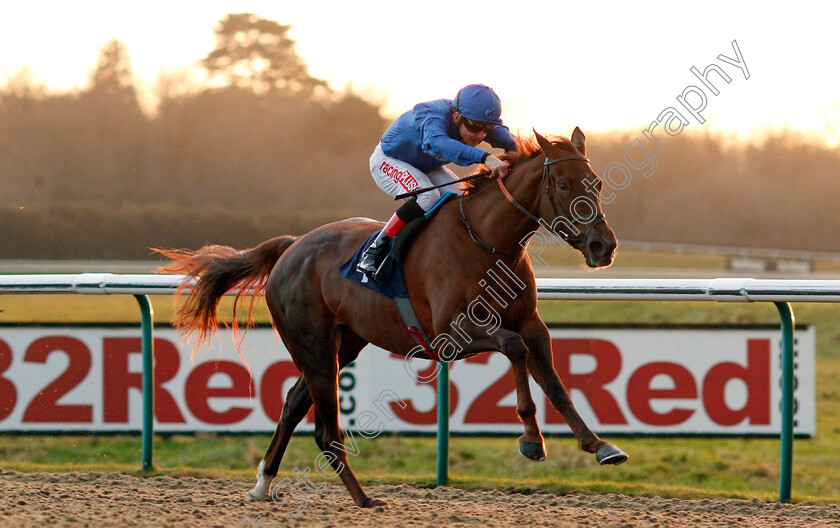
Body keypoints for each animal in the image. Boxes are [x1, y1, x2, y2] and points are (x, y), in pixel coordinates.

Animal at [158, 128, 628, 508]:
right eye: (563, 184)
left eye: (597, 183)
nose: (603, 246)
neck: (488, 240)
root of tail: (292, 246)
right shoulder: (451, 334)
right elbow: (514, 349)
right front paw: (530, 439)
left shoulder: (531, 322)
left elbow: (553, 380)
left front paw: (600, 445)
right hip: (313, 344)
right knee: (325, 429)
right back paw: (364, 498)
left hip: (341, 344)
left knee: (292, 404)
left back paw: (263, 484)